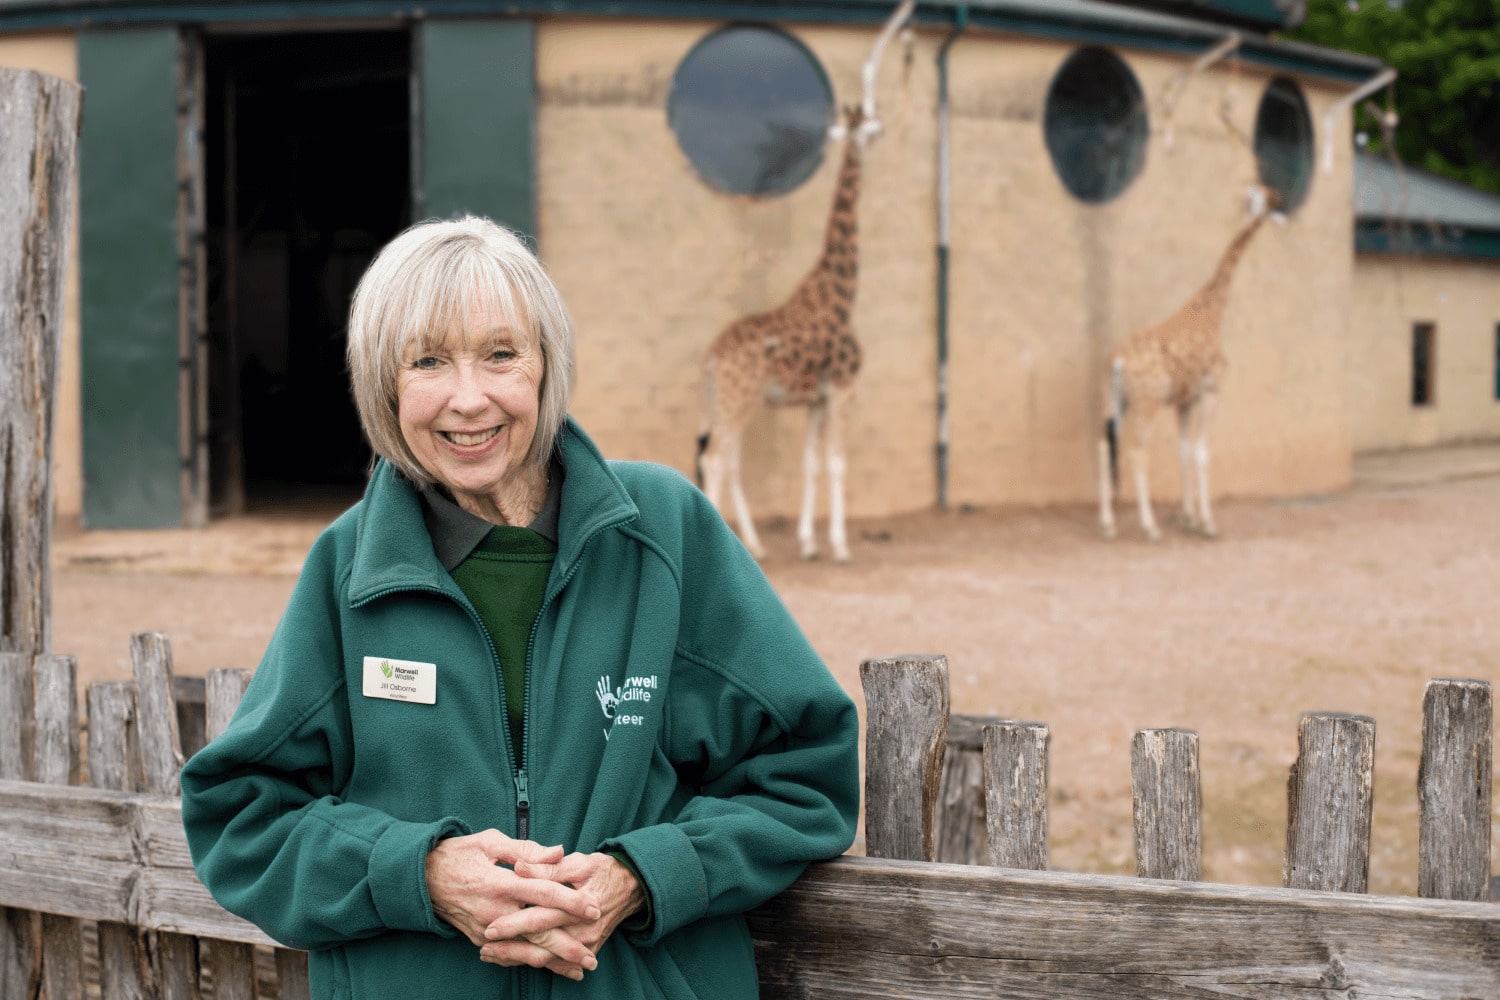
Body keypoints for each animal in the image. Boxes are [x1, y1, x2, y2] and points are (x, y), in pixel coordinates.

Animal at [699, 101, 876, 563]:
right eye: (869, 125)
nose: (880, 135)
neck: (842, 293)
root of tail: (711, 359)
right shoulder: (842, 388)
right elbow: (837, 462)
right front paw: (840, 546)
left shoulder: (816, 399)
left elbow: (810, 464)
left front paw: (809, 543)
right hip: (739, 399)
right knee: (714, 460)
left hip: (726, 401)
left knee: (729, 463)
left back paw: (755, 544)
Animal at [1098, 183, 1284, 542]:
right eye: (1264, 195)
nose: (1277, 208)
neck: (1212, 312)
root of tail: (1118, 360)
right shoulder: (1211, 392)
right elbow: (1201, 452)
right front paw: (1207, 523)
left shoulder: (1184, 402)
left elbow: (1183, 451)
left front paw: (1188, 518)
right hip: (1147, 402)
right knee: (1136, 451)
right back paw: (1149, 527)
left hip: (1115, 400)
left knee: (1103, 444)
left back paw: (1108, 524)